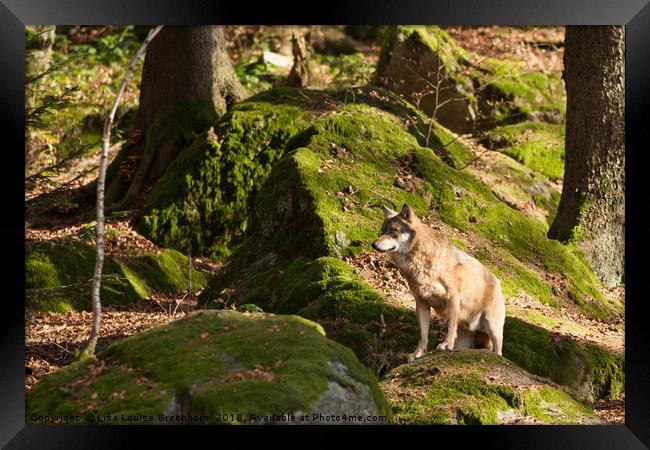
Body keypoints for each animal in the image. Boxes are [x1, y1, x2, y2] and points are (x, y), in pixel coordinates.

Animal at [370, 206, 506, 360]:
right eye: (382, 231)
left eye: (393, 230)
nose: (373, 244)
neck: (420, 259)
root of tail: (498, 282)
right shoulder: (421, 304)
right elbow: (423, 335)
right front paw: (417, 354)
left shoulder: (452, 298)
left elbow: (450, 326)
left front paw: (445, 345)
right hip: (464, 342)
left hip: (493, 328)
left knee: (499, 351)